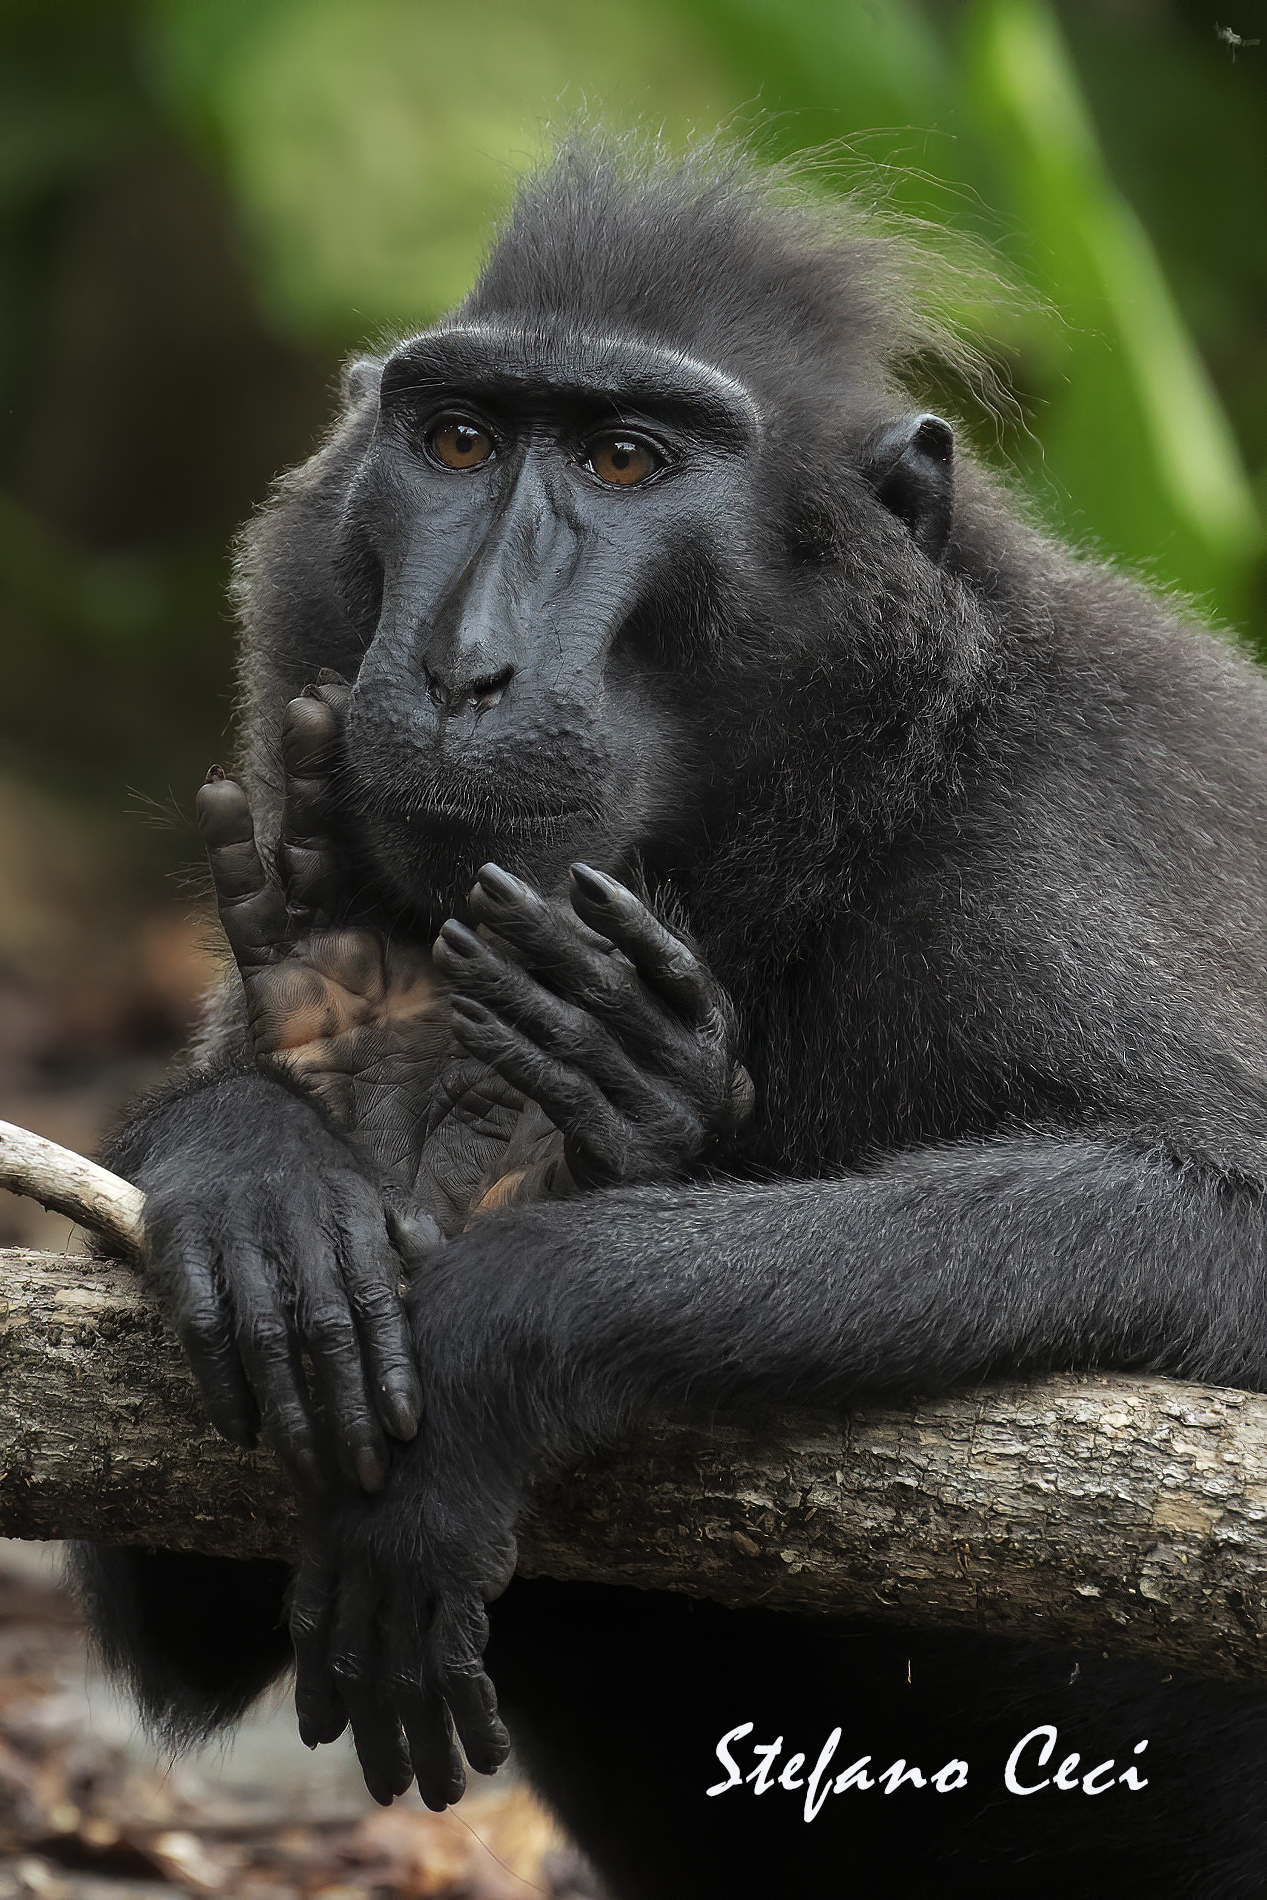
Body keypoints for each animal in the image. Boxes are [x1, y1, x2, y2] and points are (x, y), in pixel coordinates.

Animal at [74, 143, 1267, 1896]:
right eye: (457, 441)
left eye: (626, 459)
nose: (461, 670)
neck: (837, 803)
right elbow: (187, 1620)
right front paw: (299, 1155)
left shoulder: (1057, 840)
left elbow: (1223, 1219)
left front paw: (502, 1316)